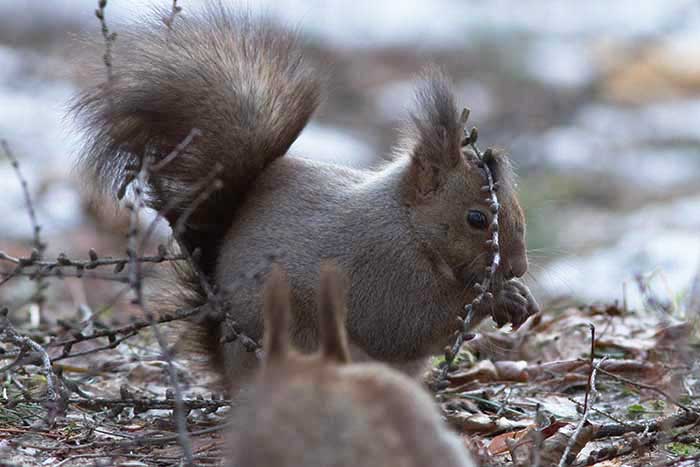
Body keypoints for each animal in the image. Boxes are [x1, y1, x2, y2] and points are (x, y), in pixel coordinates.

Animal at [74, 5, 540, 388]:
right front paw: (496, 296)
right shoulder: (381, 266)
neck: (408, 223)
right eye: (476, 219)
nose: (516, 267)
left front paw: (517, 296)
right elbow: (408, 323)